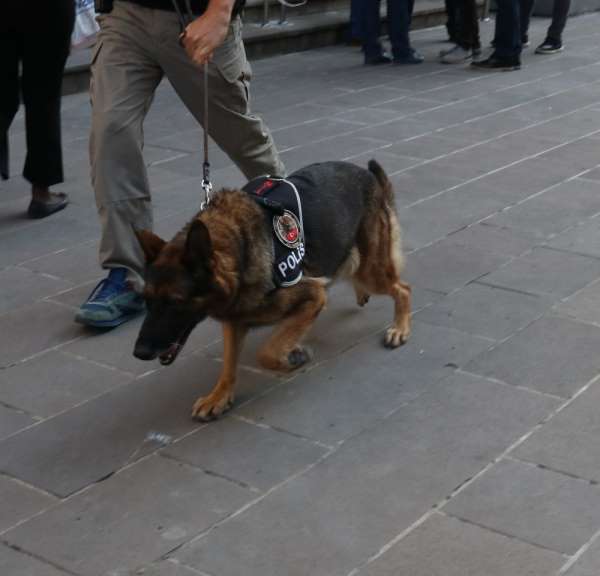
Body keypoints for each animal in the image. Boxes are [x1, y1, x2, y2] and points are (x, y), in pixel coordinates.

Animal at [134, 160, 410, 420]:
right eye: (146, 300)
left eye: (176, 302)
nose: (139, 353)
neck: (239, 247)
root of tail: (367, 174)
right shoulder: (234, 320)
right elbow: (229, 363)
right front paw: (219, 396)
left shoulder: (312, 297)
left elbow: (266, 353)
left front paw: (293, 357)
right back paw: (363, 294)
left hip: (371, 271)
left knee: (402, 288)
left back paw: (399, 328)